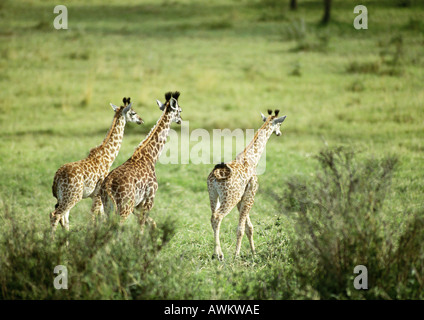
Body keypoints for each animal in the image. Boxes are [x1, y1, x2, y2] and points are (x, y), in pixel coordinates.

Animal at [50, 97, 144, 232]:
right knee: (55, 215)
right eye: (133, 113)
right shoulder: (98, 196)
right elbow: (94, 218)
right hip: (73, 196)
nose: (141, 120)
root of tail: (57, 177)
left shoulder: (95, 196)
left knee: (64, 218)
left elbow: (100, 218)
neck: (107, 157)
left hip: (63, 196)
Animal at [100, 91, 183, 229]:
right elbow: (142, 227)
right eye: (180, 110)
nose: (180, 120)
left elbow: (152, 224)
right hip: (124, 207)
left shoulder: (137, 205)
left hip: (108, 208)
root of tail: (107, 186)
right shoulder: (149, 199)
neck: (150, 156)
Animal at [207, 109, 286, 260]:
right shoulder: (250, 194)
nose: (279, 133)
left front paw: (254, 253)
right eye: (279, 124)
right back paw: (220, 254)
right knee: (218, 217)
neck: (251, 159)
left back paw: (215, 254)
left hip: (213, 196)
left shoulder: (242, 198)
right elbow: (241, 228)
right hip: (229, 198)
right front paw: (237, 255)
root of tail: (215, 176)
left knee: (212, 217)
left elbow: (249, 227)